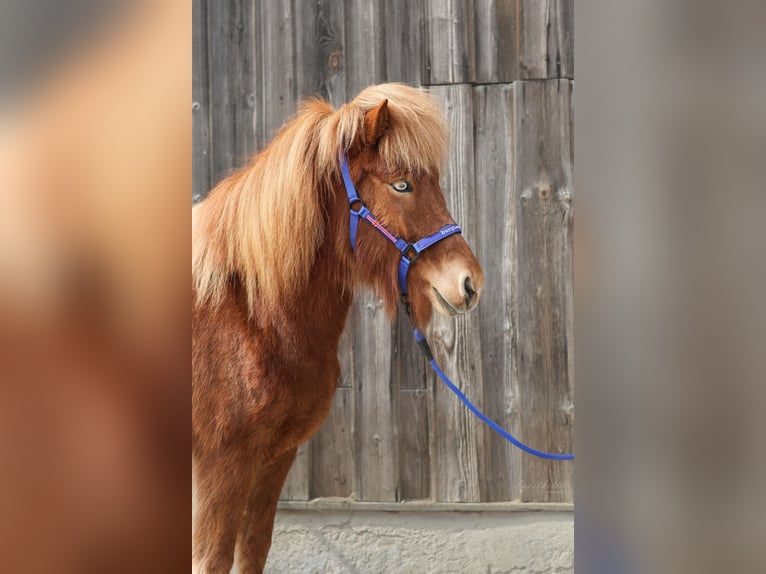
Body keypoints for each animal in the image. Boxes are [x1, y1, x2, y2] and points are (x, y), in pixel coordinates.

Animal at [192, 83, 484, 573]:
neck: (246, 313)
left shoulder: (272, 461)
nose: (469, 283)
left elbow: (253, 551)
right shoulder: (220, 468)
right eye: (401, 184)